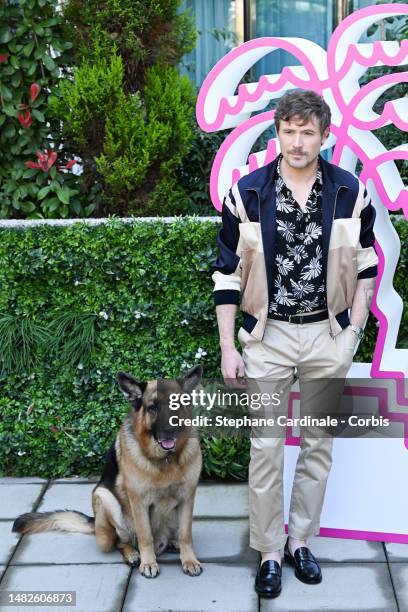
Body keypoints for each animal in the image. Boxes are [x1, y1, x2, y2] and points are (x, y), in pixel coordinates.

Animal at [12, 368, 204, 580]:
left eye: (176, 405)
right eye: (152, 407)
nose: (169, 430)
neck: (166, 460)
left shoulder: (187, 498)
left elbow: (185, 534)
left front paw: (189, 560)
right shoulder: (138, 501)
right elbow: (145, 536)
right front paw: (148, 563)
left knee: (174, 536)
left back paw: (172, 544)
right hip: (104, 498)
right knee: (121, 542)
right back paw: (133, 554)